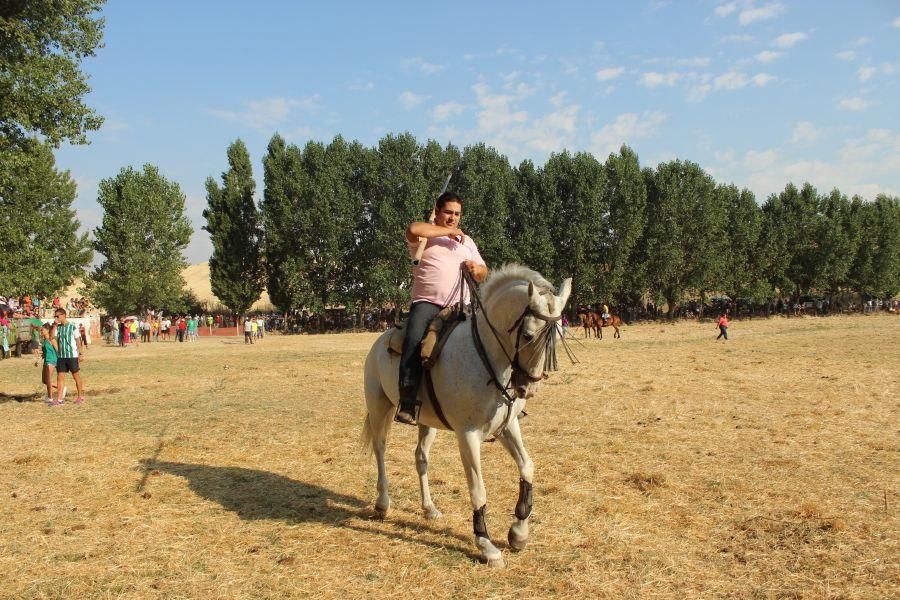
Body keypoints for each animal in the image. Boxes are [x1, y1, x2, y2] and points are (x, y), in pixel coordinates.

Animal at [358, 264, 568, 568]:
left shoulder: (507, 426)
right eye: (528, 335)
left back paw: (429, 508)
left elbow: (527, 466)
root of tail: (380, 341)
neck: (488, 357)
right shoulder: (468, 435)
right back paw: (383, 503)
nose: (528, 388)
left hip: (426, 422)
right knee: (380, 449)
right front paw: (486, 545)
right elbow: (478, 489)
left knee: (420, 457)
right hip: (379, 407)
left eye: (558, 335)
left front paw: (519, 532)